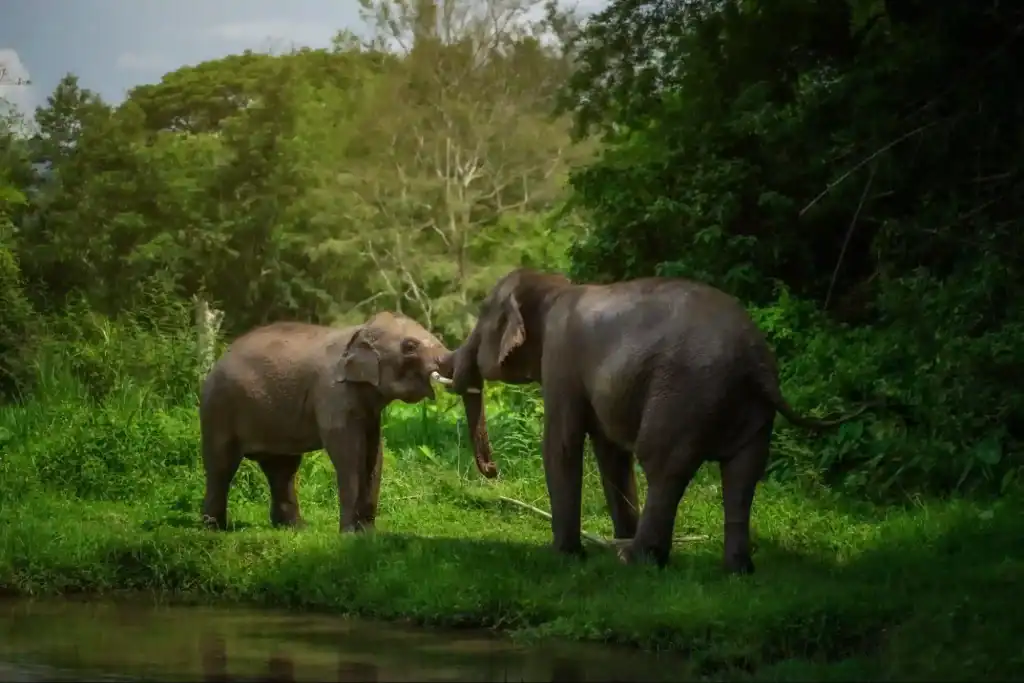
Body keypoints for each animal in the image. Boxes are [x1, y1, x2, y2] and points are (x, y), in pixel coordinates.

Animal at [199, 311, 497, 532]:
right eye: (410, 347)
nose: (493, 471)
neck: (359, 330)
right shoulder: (332, 394)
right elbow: (349, 453)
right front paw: (350, 535)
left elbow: (373, 453)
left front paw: (368, 535)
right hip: (218, 406)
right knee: (222, 463)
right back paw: (213, 528)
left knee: (282, 468)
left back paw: (296, 528)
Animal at [448, 268, 873, 574]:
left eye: (482, 315)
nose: (492, 471)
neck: (555, 286)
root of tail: (755, 359)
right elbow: (610, 452)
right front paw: (607, 541)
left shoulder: (561, 357)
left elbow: (563, 443)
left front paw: (565, 557)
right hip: (747, 409)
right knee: (743, 473)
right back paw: (737, 571)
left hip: (684, 394)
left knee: (664, 465)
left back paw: (636, 560)